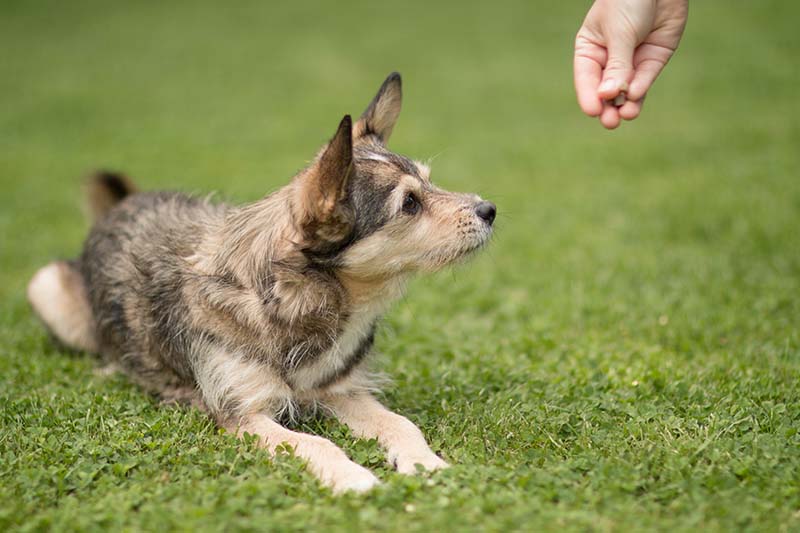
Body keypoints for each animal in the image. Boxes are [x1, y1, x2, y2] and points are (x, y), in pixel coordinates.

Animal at [26, 72, 494, 492]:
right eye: (409, 203)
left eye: (430, 181)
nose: (490, 209)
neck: (296, 300)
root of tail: (122, 204)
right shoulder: (243, 415)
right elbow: (316, 444)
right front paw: (353, 477)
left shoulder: (342, 391)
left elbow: (400, 423)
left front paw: (425, 461)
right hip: (46, 287)